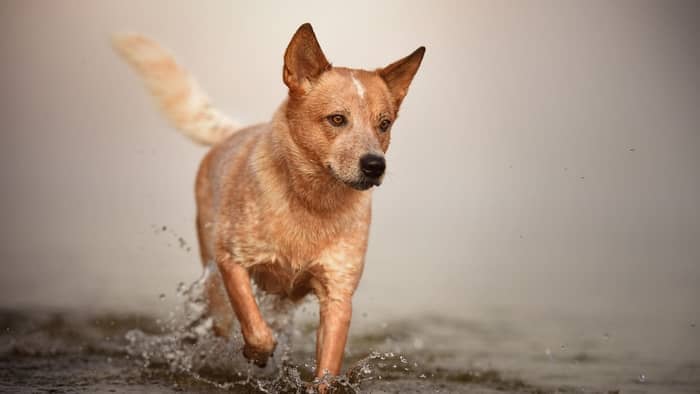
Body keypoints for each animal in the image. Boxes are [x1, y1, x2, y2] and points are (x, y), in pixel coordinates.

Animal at [112, 23, 424, 384]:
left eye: (384, 124)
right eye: (336, 119)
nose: (375, 165)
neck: (311, 203)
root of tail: (235, 132)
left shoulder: (338, 294)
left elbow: (326, 370)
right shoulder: (231, 260)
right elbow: (256, 327)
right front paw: (257, 353)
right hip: (215, 284)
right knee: (223, 321)